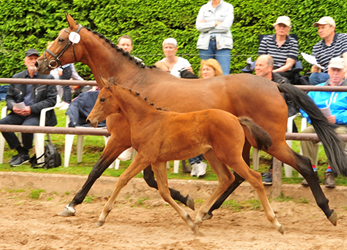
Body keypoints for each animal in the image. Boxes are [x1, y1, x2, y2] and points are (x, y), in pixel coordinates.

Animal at [86, 77, 282, 234]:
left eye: (102, 98)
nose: (89, 119)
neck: (147, 119)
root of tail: (236, 119)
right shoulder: (158, 161)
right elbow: (164, 192)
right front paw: (190, 221)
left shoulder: (145, 157)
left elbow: (122, 179)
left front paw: (102, 217)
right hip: (213, 155)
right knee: (226, 178)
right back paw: (200, 216)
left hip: (230, 156)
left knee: (254, 178)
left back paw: (276, 222)